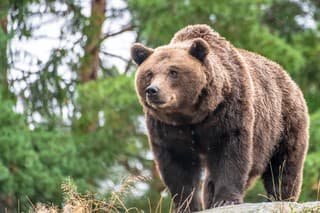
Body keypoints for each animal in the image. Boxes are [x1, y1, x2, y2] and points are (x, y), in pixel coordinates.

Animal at [131, 24, 310, 211]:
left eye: (173, 72)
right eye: (149, 73)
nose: (153, 90)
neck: (192, 115)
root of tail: (287, 77)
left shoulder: (229, 111)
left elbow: (231, 152)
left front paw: (225, 200)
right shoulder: (167, 127)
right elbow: (177, 165)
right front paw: (186, 205)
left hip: (283, 123)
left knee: (284, 164)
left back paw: (281, 197)